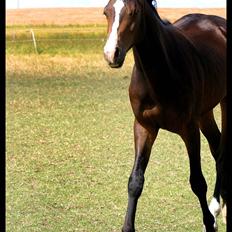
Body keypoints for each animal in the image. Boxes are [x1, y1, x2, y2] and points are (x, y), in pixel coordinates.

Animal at [103, 0, 227, 231]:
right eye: (106, 11)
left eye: (134, 11)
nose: (111, 54)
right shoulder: (144, 127)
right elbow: (135, 181)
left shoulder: (189, 129)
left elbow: (197, 182)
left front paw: (208, 222)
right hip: (205, 113)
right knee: (217, 148)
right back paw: (219, 206)